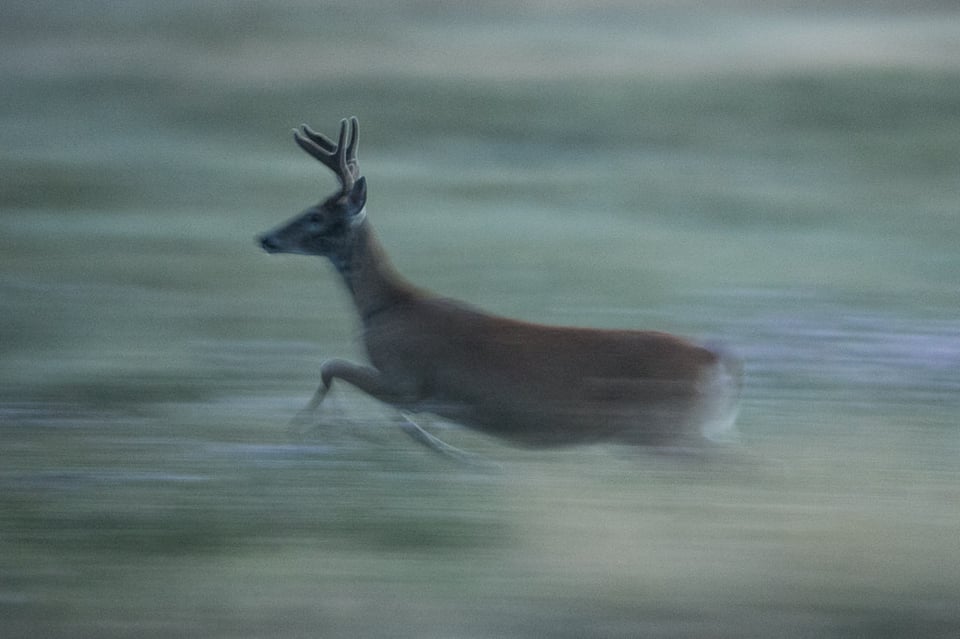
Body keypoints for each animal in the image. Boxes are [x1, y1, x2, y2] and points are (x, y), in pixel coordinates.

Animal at [256, 117, 744, 460]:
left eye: (316, 215)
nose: (266, 237)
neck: (388, 307)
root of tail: (719, 360)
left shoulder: (405, 378)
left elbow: (332, 367)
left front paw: (311, 425)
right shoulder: (417, 392)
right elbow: (394, 413)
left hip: (666, 429)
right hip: (675, 432)